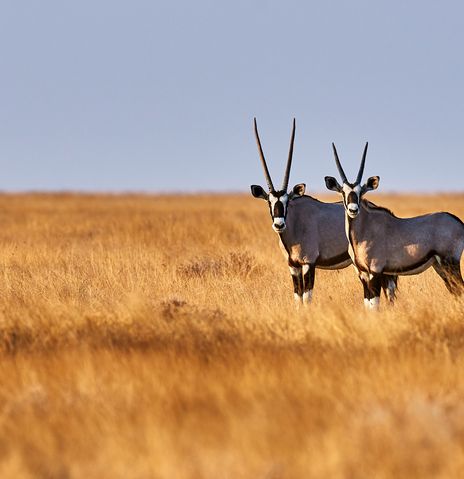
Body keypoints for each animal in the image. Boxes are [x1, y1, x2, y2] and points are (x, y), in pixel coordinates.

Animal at [252, 120, 396, 308]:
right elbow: (297, 297)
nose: (279, 224)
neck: (294, 225)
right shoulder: (293, 266)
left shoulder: (308, 263)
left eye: (287, 201)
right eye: (269, 202)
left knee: (389, 289)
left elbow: (307, 297)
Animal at [324, 142, 464, 308]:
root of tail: (458, 221)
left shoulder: (375, 271)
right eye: (342, 192)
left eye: (361, 192)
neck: (362, 231)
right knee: (455, 291)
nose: (353, 210)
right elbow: (368, 305)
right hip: (440, 266)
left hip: (450, 263)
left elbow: (374, 305)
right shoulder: (362, 274)